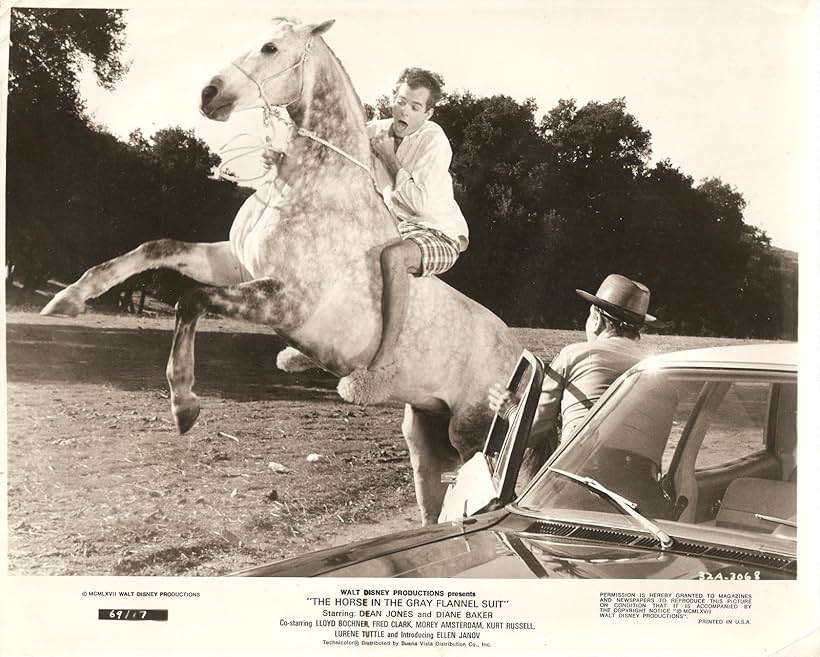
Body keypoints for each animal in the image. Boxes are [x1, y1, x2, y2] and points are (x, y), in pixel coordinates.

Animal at [40, 18, 520, 524]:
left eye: (271, 48)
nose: (208, 94)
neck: (310, 187)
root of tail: (520, 354)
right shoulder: (233, 264)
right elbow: (157, 247)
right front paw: (67, 299)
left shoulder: (285, 300)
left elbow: (190, 299)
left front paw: (184, 404)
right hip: (425, 435)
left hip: (471, 435)